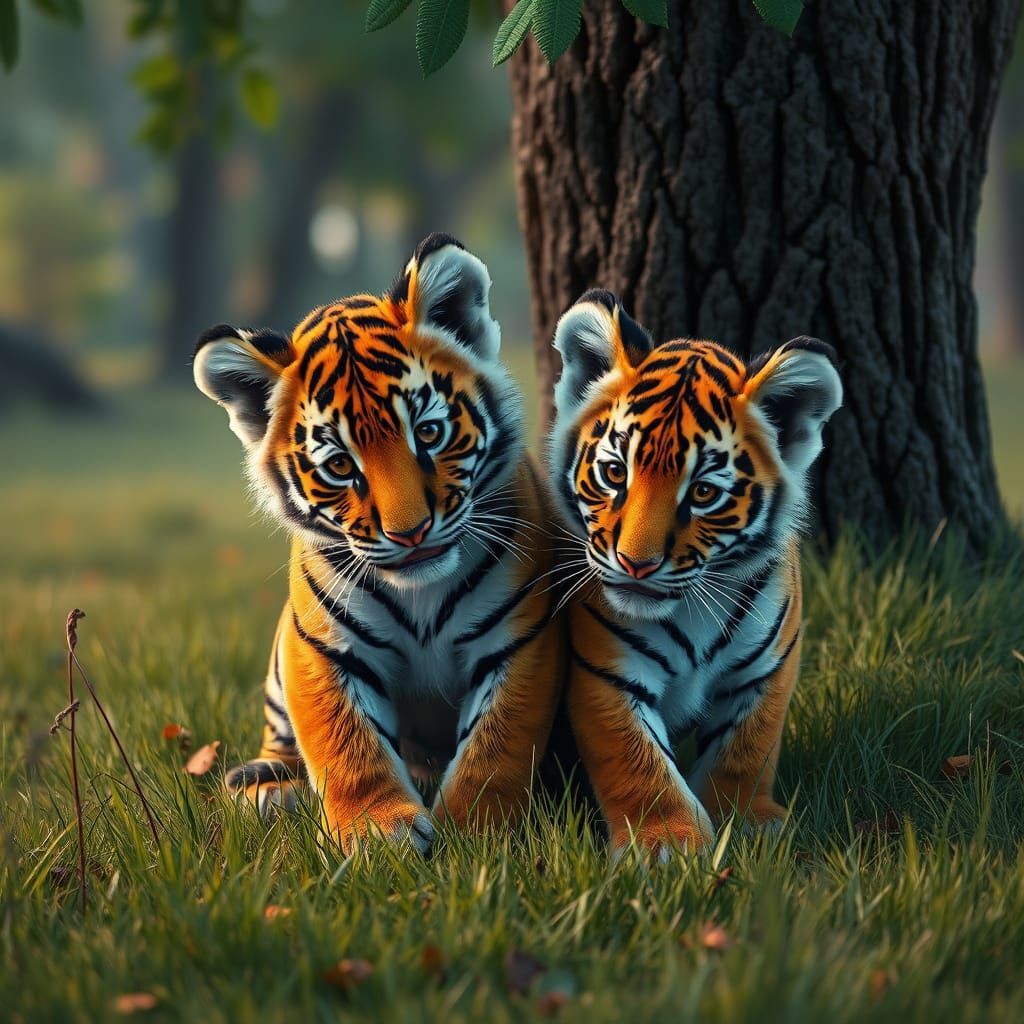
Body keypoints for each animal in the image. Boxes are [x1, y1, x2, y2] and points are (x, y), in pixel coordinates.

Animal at [192, 234, 564, 854]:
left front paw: (476, 834)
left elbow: (495, 747)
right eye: (341, 466)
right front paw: (376, 834)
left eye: (430, 434)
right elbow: (347, 745)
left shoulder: (519, 640)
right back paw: (270, 789)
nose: (409, 532)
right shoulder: (323, 648)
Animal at [548, 290, 842, 859]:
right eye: (614, 472)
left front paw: (746, 821)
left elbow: (746, 750)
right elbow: (636, 760)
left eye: (703, 492)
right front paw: (667, 845)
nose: (636, 563)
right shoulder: (606, 672)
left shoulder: (766, 670)